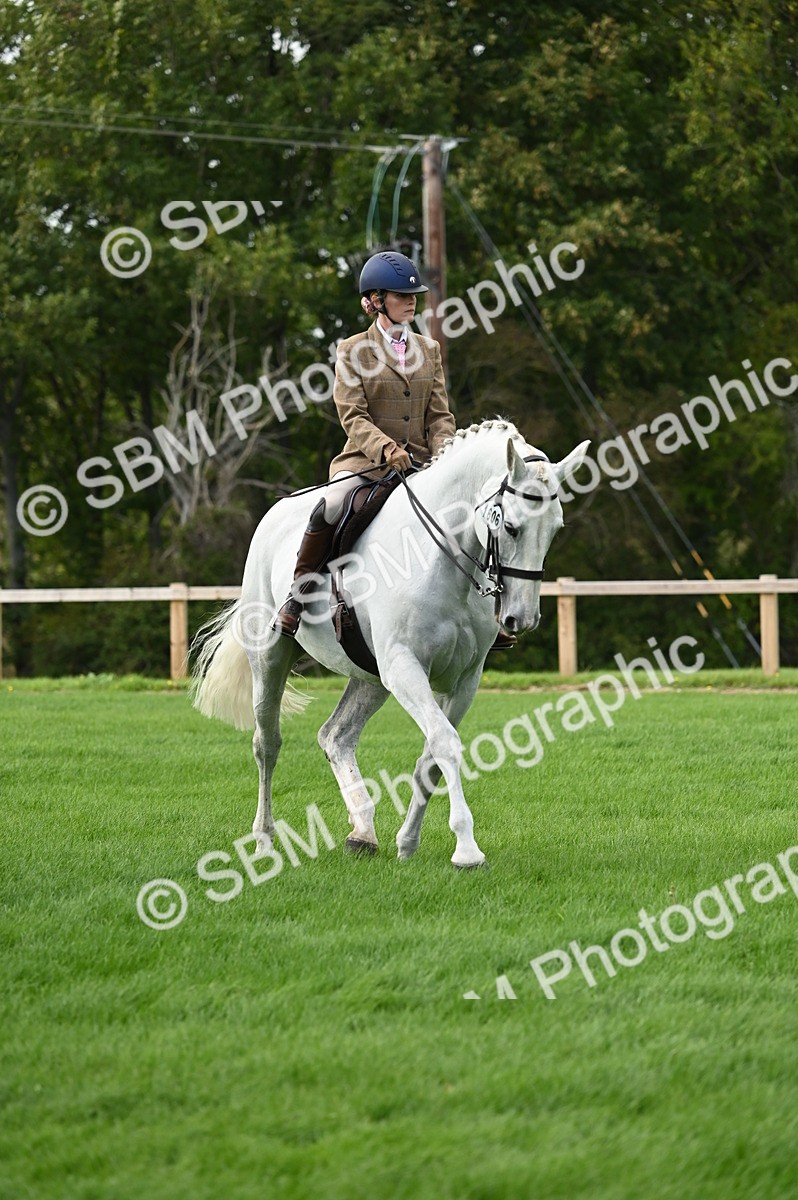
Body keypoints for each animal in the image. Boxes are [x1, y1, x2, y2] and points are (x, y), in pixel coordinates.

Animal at [190, 419, 589, 868]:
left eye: (554, 530)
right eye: (511, 527)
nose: (522, 618)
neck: (441, 558)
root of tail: (273, 517)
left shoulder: (464, 679)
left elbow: (429, 758)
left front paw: (408, 843)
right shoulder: (404, 666)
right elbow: (445, 744)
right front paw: (466, 848)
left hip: (371, 677)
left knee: (336, 736)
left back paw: (363, 832)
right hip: (271, 658)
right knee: (267, 744)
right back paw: (264, 840)